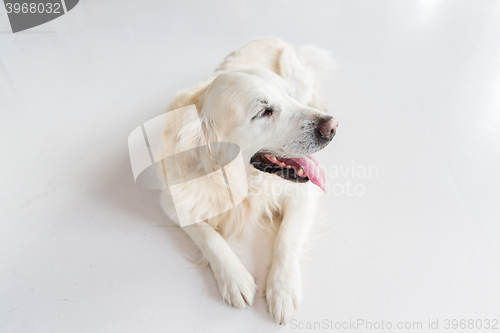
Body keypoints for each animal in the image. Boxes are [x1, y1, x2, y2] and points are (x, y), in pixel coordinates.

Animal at [160, 37, 340, 322]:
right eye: (264, 112)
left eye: (288, 96)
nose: (332, 126)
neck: (240, 179)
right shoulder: (172, 200)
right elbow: (208, 236)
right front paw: (234, 278)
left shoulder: (303, 192)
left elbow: (287, 237)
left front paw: (282, 289)